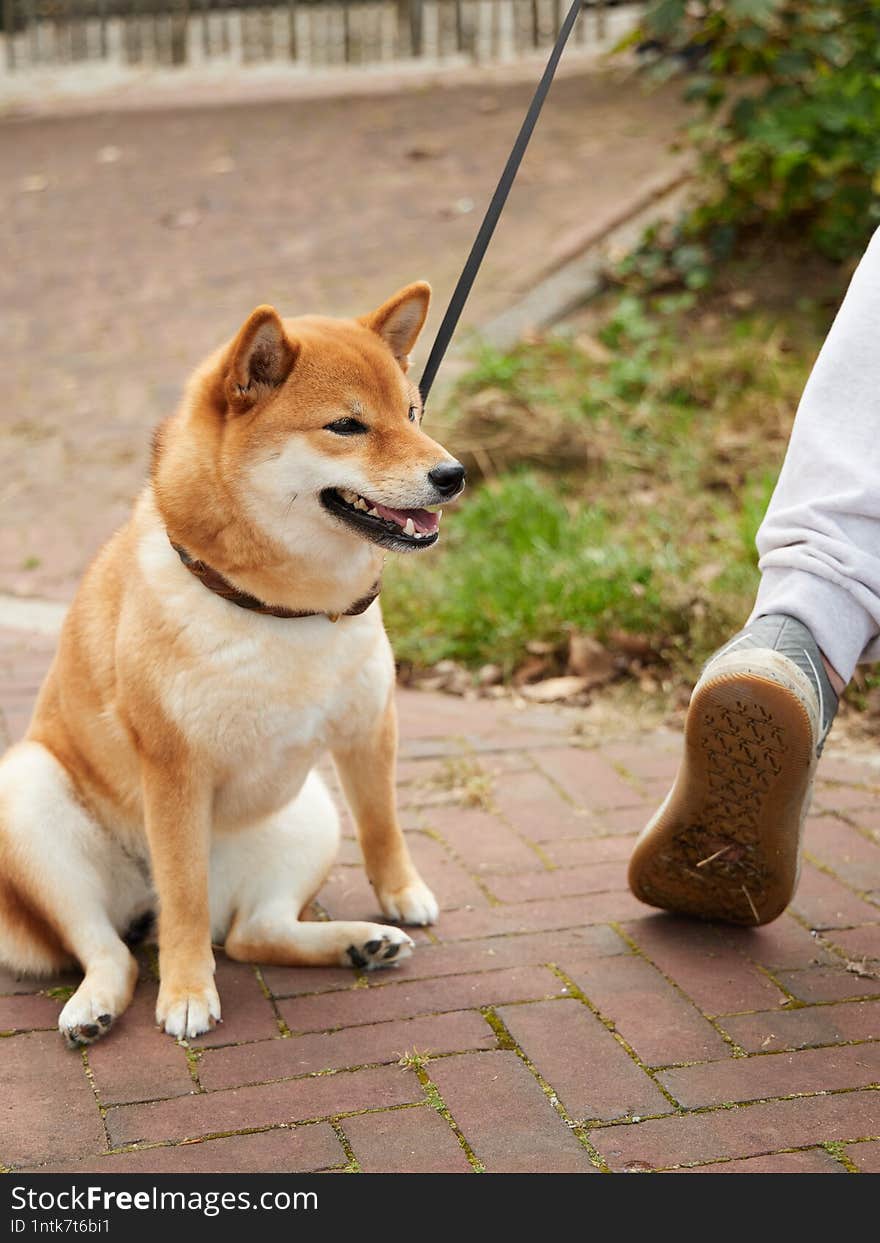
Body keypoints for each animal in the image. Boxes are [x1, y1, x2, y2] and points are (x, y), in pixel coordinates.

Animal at [0, 284, 467, 1049]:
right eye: (347, 426)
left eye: (411, 413)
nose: (452, 475)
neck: (285, 609)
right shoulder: (173, 770)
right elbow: (183, 897)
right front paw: (188, 993)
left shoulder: (369, 726)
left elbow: (383, 823)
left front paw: (402, 893)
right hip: (32, 800)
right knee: (117, 947)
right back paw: (94, 1007)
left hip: (307, 816)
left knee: (255, 933)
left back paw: (359, 942)